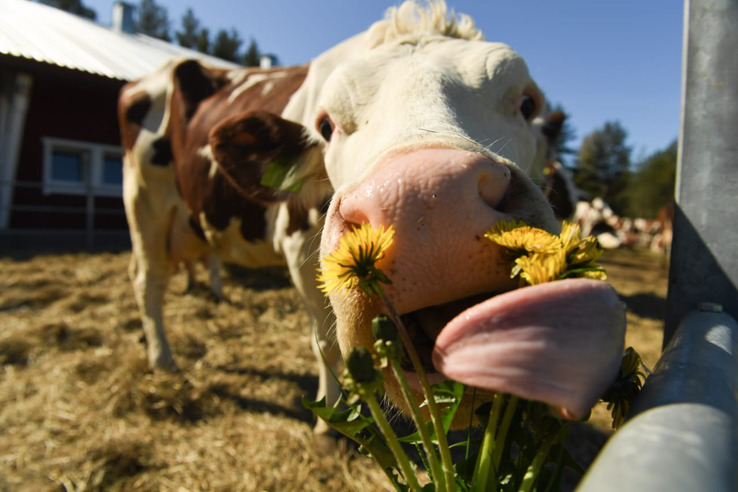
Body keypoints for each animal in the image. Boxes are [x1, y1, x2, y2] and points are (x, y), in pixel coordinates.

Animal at [118, 1, 624, 434]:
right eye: (325, 125)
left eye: (527, 104)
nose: (428, 200)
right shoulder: (298, 248)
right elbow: (325, 345)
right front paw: (330, 425)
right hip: (143, 203)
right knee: (147, 281)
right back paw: (163, 360)